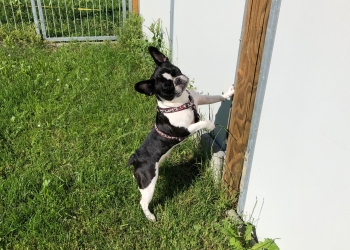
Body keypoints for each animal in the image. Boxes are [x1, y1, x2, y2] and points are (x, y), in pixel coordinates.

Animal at [126, 47, 235, 221]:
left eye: (176, 70)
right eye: (166, 87)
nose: (178, 80)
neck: (181, 102)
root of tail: (136, 157)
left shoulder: (200, 99)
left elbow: (214, 97)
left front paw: (229, 94)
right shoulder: (185, 129)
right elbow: (201, 123)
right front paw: (211, 125)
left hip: (143, 179)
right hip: (150, 181)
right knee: (143, 202)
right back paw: (150, 217)